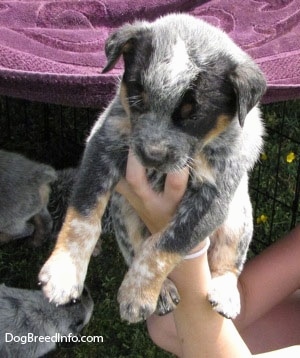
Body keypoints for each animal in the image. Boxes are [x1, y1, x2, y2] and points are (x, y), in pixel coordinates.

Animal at [38, 13, 266, 322]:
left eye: (194, 115)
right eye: (137, 99)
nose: (151, 155)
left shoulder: (213, 198)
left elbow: (165, 244)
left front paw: (138, 294)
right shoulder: (103, 144)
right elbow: (83, 219)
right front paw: (64, 273)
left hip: (238, 218)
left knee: (228, 262)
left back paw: (225, 293)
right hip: (124, 213)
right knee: (134, 248)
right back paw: (165, 292)